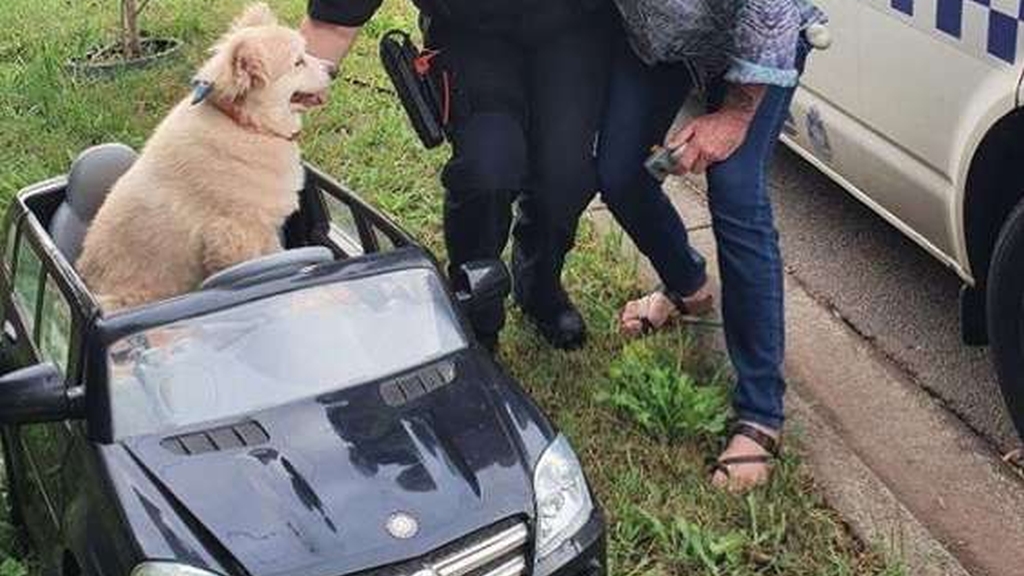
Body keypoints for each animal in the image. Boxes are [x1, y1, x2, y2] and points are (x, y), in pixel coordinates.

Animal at [77, 3, 333, 312]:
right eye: (298, 63)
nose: (334, 68)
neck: (244, 123)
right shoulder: (236, 236)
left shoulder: (264, 230)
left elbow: (276, 252)